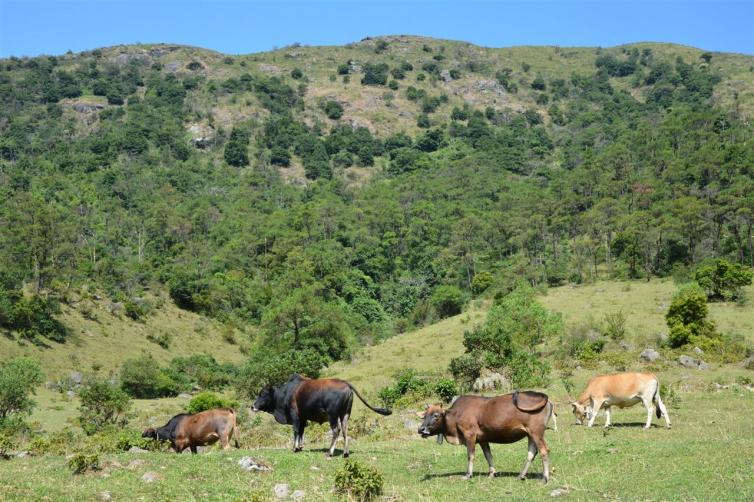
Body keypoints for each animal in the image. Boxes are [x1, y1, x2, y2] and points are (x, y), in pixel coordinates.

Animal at [418, 390, 552, 480]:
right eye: (424, 415)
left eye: (436, 415)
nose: (421, 429)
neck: (455, 415)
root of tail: (544, 397)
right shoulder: (483, 439)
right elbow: (488, 456)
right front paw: (492, 473)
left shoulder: (470, 435)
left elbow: (470, 456)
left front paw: (468, 475)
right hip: (530, 434)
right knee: (531, 453)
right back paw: (521, 475)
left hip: (536, 432)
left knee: (544, 450)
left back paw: (545, 478)